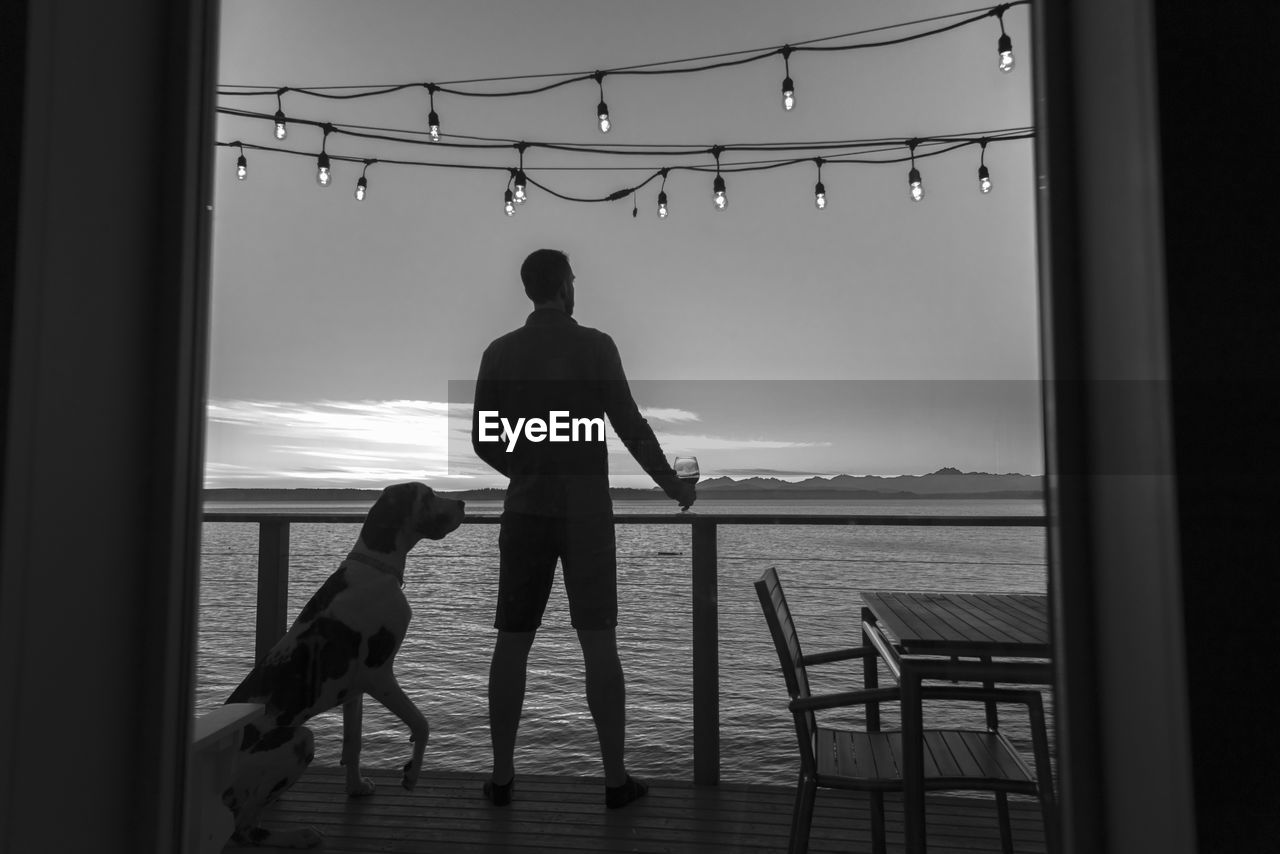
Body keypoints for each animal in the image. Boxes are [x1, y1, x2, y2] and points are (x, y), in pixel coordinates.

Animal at [221, 481, 465, 850]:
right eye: (428, 495)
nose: (463, 502)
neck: (376, 567)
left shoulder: (355, 690)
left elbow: (353, 742)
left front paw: (356, 787)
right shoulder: (379, 674)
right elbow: (421, 724)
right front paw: (412, 773)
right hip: (298, 740)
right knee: (244, 829)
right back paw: (299, 834)